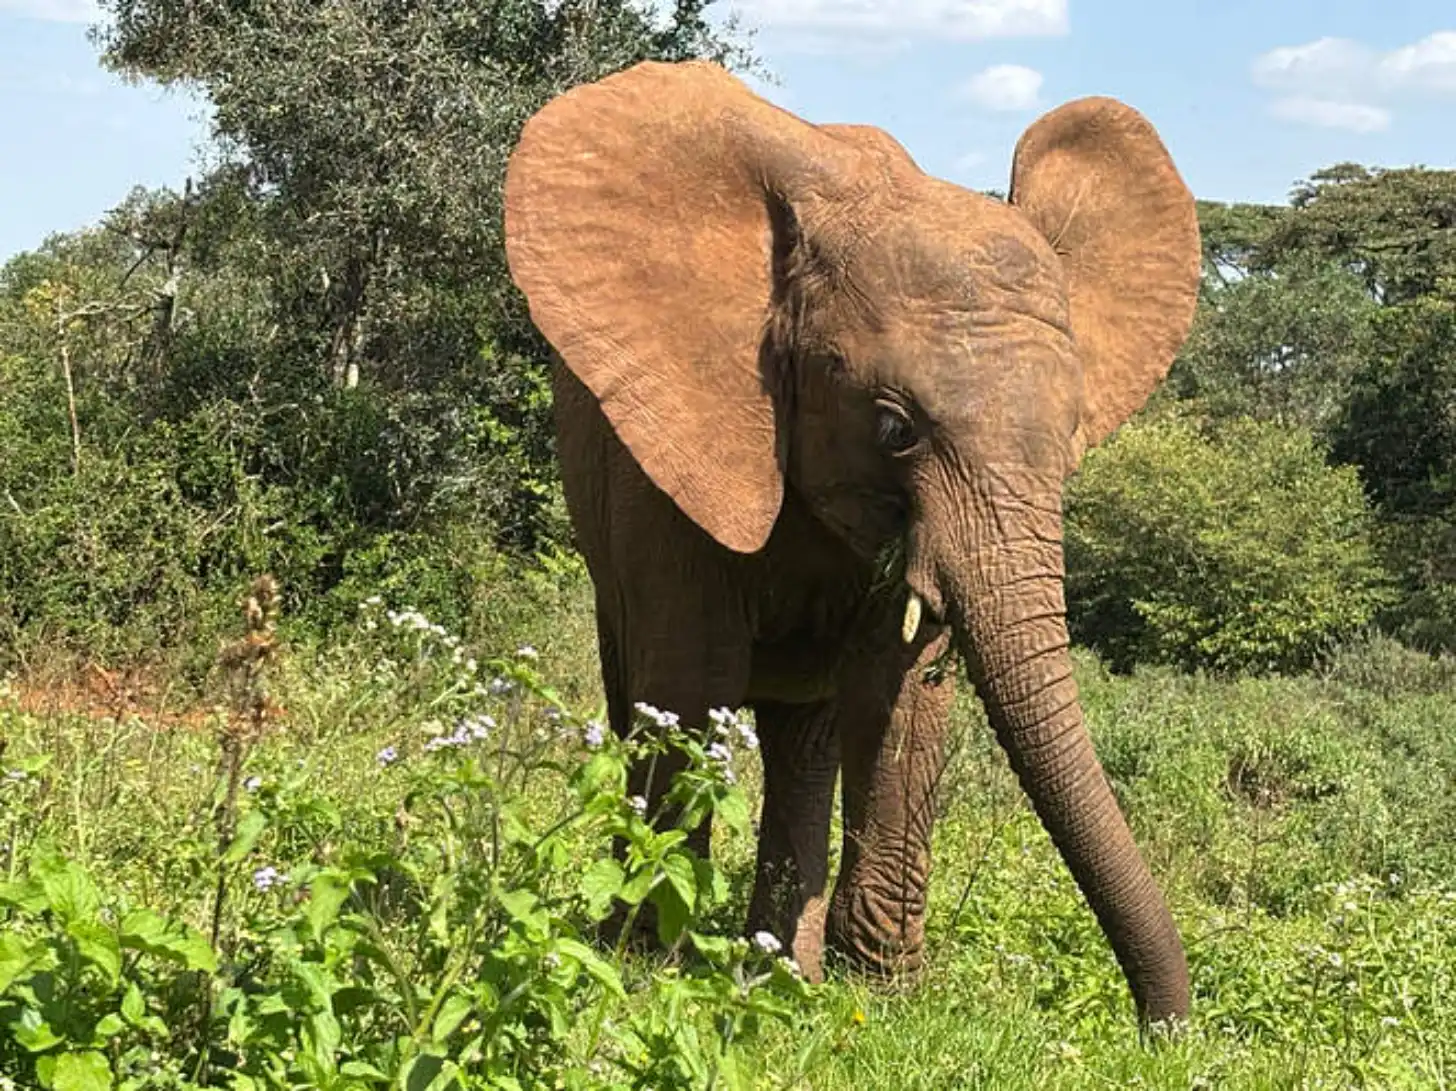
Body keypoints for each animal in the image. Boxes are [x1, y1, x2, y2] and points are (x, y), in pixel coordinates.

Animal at [502, 60, 1201, 1027]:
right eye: (894, 427)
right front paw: (646, 968)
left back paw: (778, 973)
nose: (1164, 1030)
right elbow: (690, 680)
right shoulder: (668, 457)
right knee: (642, 690)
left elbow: (897, 697)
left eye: (1070, 441)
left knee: (805, 738)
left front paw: (879, 994)